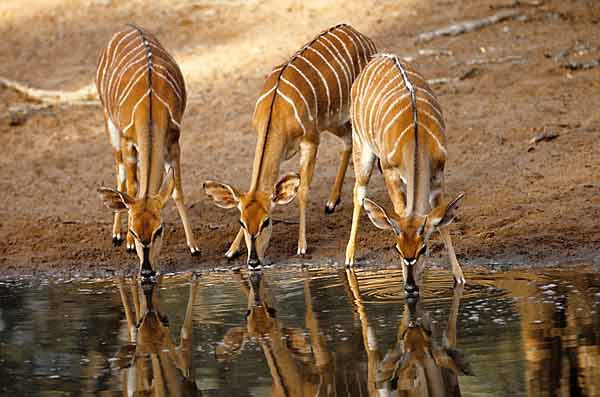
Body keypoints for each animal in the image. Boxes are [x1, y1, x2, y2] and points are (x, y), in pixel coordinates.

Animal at [95, 25, 199, 278]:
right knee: (120, 171)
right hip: (109, 124)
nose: (147, 271)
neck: (150, 108)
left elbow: (176, 190)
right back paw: (115, 235)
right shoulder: (128, 141)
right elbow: (132, 188)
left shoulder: (173, 142)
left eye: (159, 229)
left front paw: (193, 246)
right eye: (133, 230)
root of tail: (128, 26)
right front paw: (128, 244)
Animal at [204, 24, 378, 266]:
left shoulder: (311, 140)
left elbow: (303, 189)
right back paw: (331, 203)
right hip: (333, 121)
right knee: (347, 140)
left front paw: (302, 246)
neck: (276, 109)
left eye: (267, 221)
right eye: (242, 222)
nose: (253, 261)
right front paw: (231, 250)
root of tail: (359, 33)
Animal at [344, 53, 466, 290]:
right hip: (361, 145)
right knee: (359, 192)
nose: (410, 287)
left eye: (423, 248)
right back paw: (349, 258)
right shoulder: (390, 170)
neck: (417, 139)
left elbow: (442, 221)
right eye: (397, 249)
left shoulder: (438, 172)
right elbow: (400, 212)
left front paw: (458, 276)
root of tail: (379, 57)